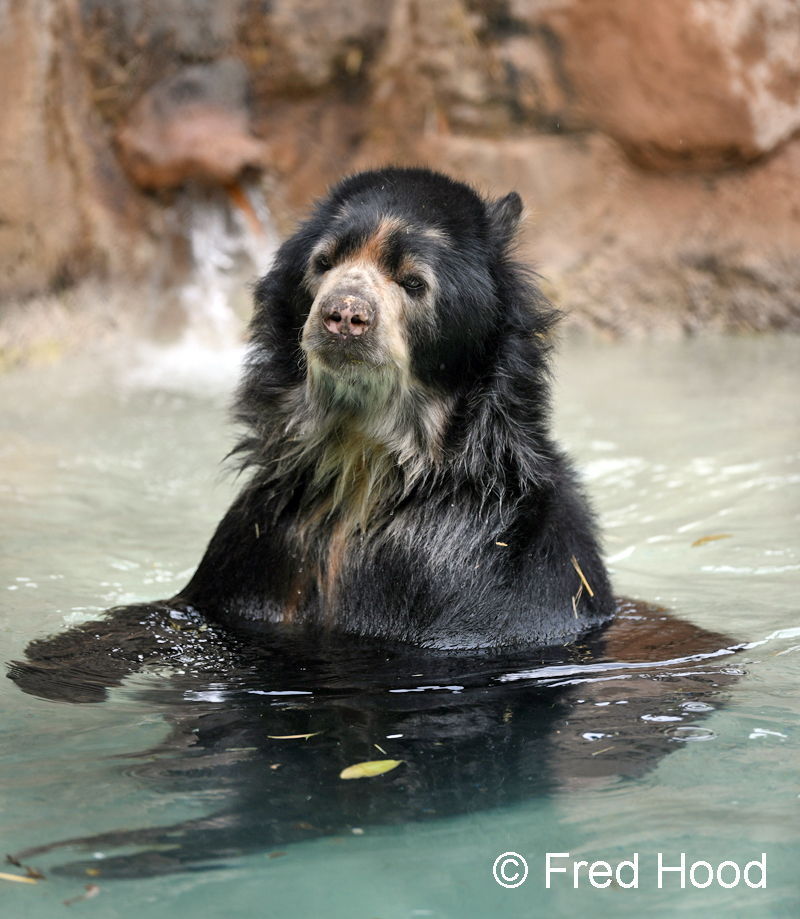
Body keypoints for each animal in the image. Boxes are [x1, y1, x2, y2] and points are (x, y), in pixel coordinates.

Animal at [173, 166, 615, 649]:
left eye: (414, 282)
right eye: (322, 262)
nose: (345, 315)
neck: (366, 465)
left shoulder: (476, 573)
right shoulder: (266, 541)